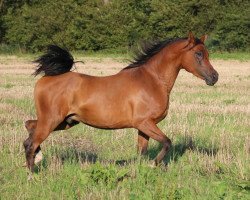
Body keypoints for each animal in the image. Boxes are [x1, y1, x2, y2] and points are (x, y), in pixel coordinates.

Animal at [23, 32, 219, 173]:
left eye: (207, 54)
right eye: (198, 54)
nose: (214, 77)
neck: (152, 80)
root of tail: (46, 78)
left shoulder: (144, 127)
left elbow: (142, 152)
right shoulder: (145, 123)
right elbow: (167, 142)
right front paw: (153, 165)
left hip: (66, 121)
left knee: (29, 128)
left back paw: (37, 159)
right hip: (51, 120)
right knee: (31, 142)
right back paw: (33, 175)